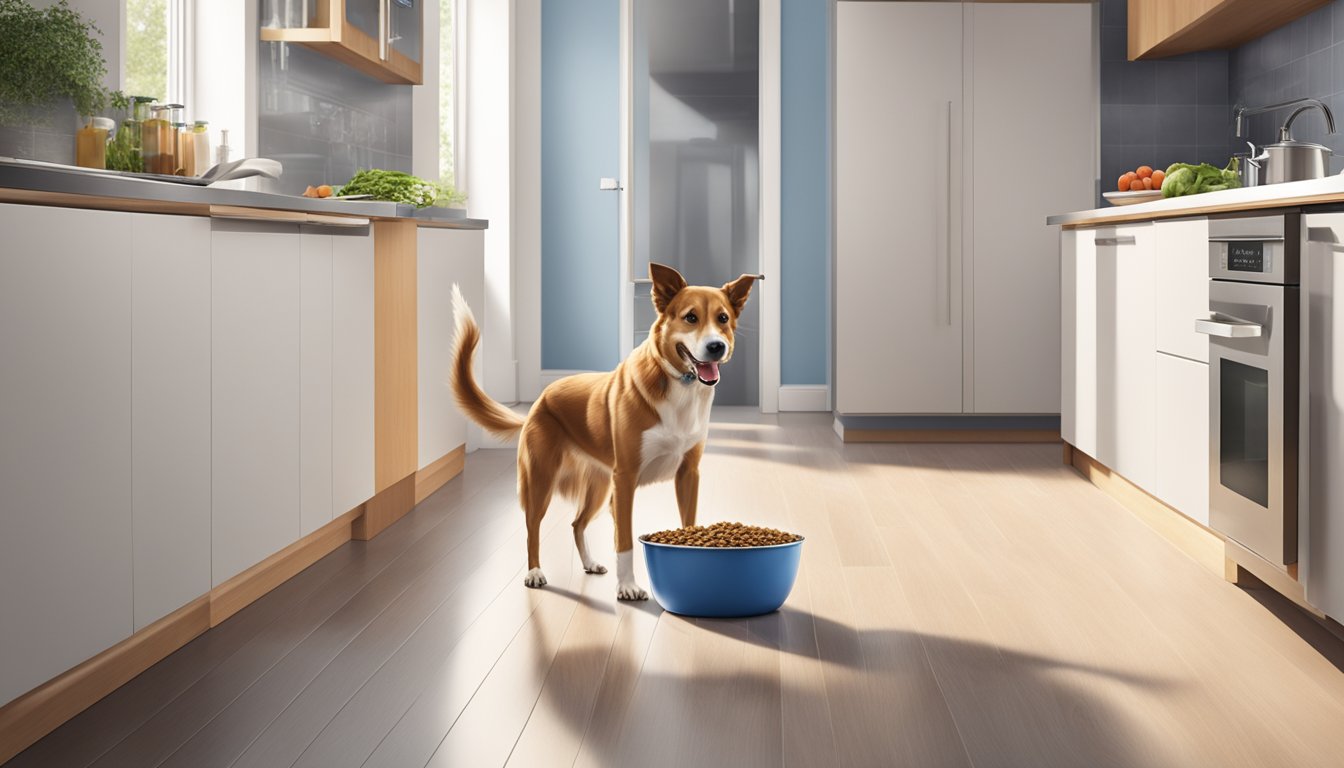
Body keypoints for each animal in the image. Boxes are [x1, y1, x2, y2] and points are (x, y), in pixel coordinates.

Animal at [448, 264, 758, 599]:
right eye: (691, 317)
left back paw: (589, 563)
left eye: (723, 318)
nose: (717, 347)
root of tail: (540, 400)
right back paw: (534, 572)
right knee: (532, 528)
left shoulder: (688, 474)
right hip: (541, 480)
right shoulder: (625, 479)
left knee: (577, 524)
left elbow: (688, 523)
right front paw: (628, 587)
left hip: (598, 487)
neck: (680, 387)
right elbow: (624, 540)